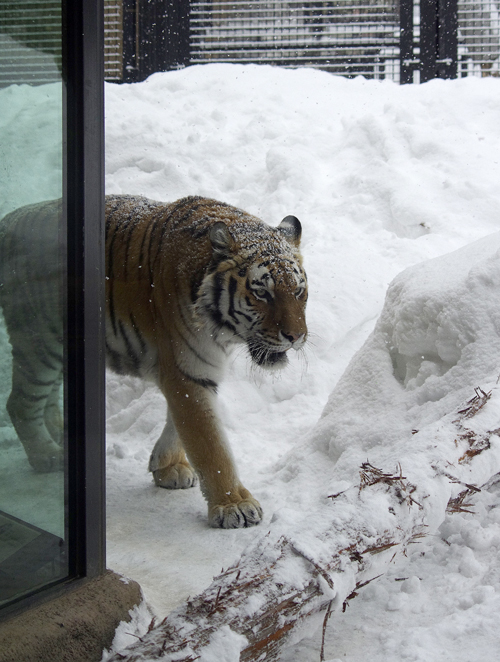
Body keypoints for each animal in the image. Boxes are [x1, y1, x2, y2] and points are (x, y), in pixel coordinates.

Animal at [106, 193, 308, 528]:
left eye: (298, 291)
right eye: (262, 293)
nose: (296, 336)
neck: (222, 333)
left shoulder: (196, 373)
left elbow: (180, 423)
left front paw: (167, 465)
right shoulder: (187, 372)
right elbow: (210, 444)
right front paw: (234, 505)